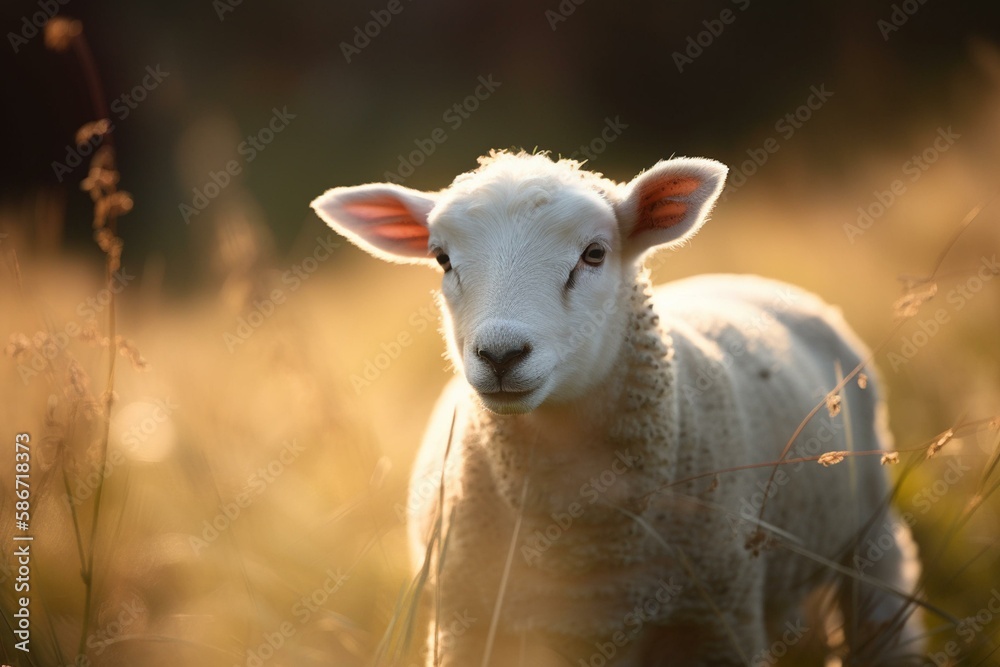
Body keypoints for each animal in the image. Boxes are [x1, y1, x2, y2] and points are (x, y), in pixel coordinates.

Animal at [311, 150, 923, 666]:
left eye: (593, 254)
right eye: (441, 259)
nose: (501, 355)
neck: (577, 538)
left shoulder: (717, 621)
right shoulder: (468, 627)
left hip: (871, 534)